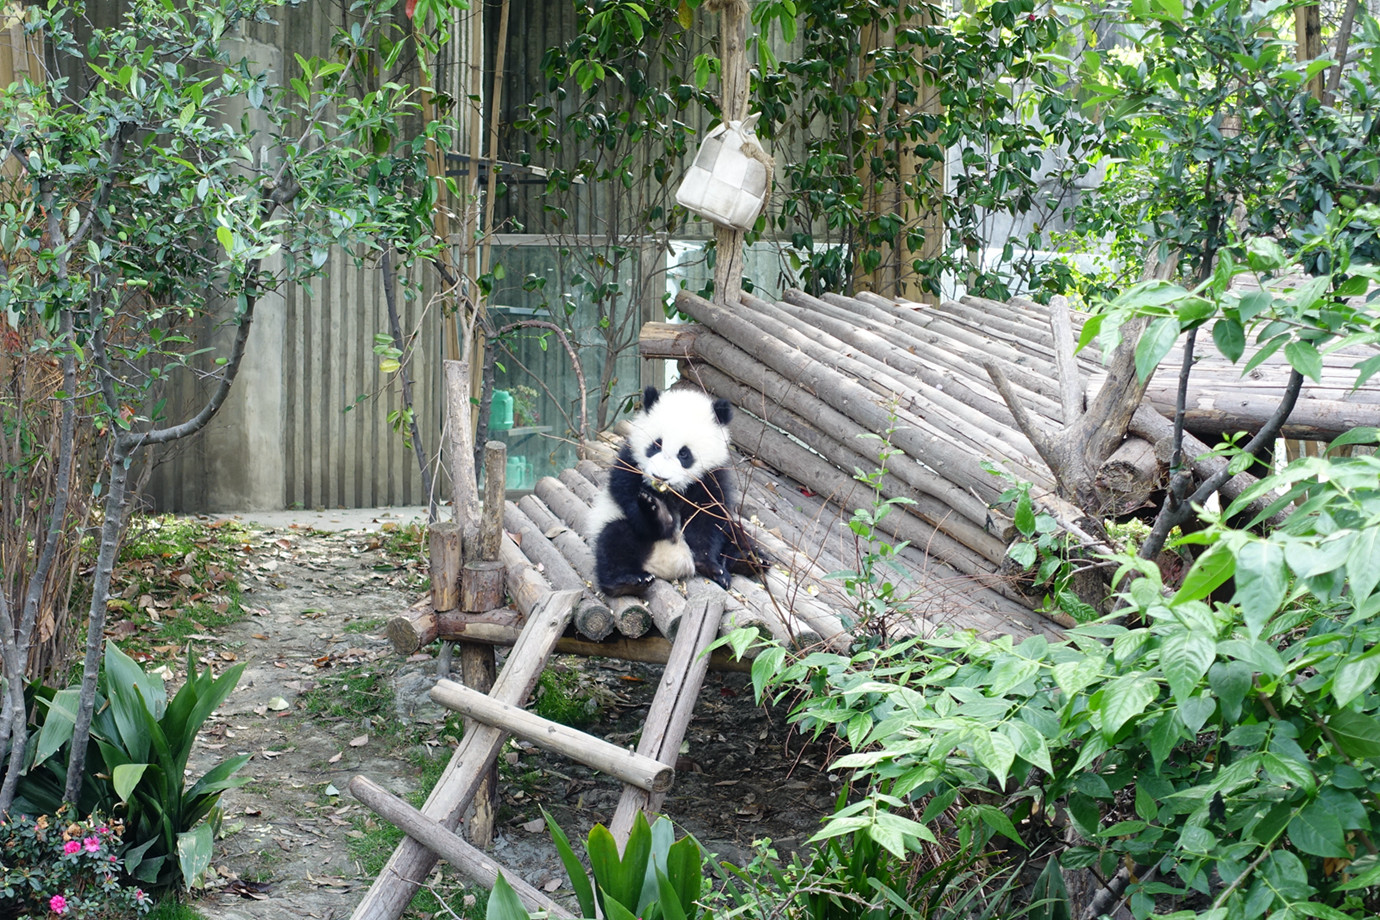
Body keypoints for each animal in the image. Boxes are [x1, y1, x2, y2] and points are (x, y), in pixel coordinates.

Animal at [587, 386, 772, 598]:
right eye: (656, 445)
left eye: (684, 453)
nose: (659, 477)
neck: (673, 491)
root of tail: (668, 564)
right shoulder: (629, 463)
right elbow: (629, 497)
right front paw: (656, 511)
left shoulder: (711, 477)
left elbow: (707, 520)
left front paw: (711, 566)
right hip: (611, 522)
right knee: (615, 539)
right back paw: (628, 582)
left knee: (736, 534)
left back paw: (750, 560)